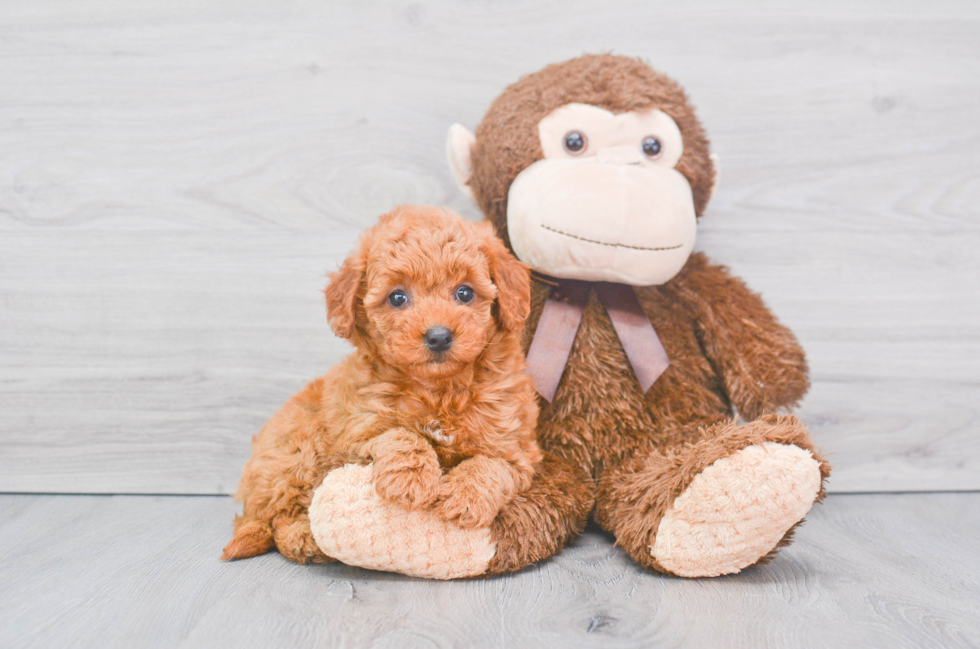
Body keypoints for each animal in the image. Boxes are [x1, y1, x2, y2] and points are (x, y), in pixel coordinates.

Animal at [222, 204, 540, 560]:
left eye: (465, 292)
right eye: (397, 297)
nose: (439, 336)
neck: (438, 390)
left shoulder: (516, 446)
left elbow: (491, 465)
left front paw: (465, 498)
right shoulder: (356, 429)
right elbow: (398, 434)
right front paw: (411, 480)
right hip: (295, 452)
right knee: (279, 517)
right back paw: (303, 538)